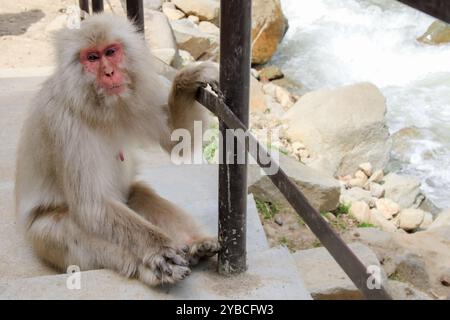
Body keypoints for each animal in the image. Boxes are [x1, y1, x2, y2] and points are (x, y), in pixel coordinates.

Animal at [16, 14, 221, 284]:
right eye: (92, 57)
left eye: (111, 52)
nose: (109, 72)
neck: (97, 105)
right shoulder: (62, 124)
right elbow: (93, 207)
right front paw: (158, 250)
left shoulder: (135, 97)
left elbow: (176, 140)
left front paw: (186, 81)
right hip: (43, 239)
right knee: (66, 230)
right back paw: (146, 269)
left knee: (139, 192)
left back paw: (196, 244)